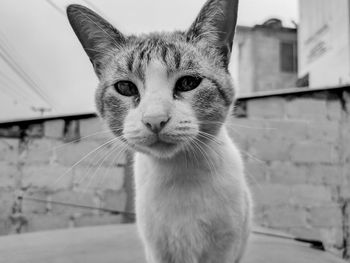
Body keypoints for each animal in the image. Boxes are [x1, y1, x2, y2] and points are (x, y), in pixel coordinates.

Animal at [66, 0, 252, 262]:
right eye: (125, 87)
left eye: (188, 83)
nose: (155, 120)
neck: (179, 173)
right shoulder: (158, 249)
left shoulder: (224, 248)